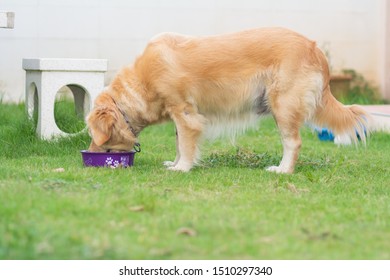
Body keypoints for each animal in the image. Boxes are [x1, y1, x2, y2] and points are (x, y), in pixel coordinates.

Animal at [87, 27, 368, 173]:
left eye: (94, 134)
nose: (90, 153)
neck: (144, 80)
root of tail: (315, 48)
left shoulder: (185, 113)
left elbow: (186, 145)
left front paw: (182, 167)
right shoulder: (181, 116)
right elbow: (179, 143)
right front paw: (174, 162)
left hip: (283, 106)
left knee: (293, 143)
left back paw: (282, 170)